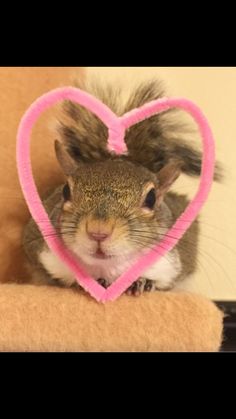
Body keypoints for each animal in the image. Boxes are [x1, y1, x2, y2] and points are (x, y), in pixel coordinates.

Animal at [22, 77, 221, 296]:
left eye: (151, 198)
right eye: (65, 191)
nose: (98, 231)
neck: (107, 269)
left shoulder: (171, 266)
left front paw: (142, 282)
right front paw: (79, 283)